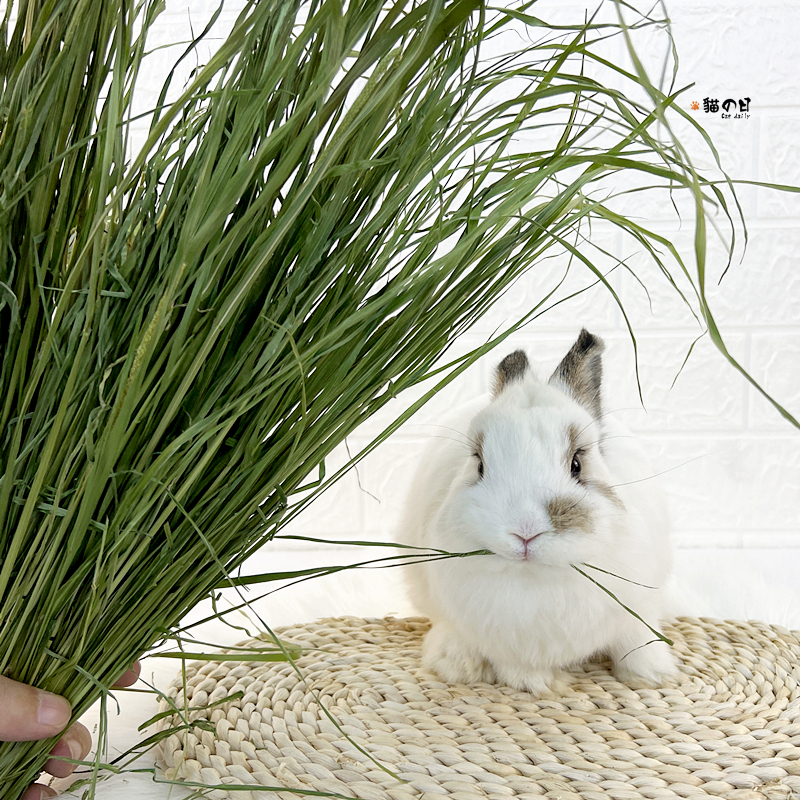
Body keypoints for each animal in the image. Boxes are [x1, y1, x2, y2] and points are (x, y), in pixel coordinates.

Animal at [400, 328, 676, 692]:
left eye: (577, 464)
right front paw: (535, 683)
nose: (525, 532)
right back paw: (458, 665)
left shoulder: (640, 604)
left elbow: (637, 638)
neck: (536, 579)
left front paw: (651, 675)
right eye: (480, 465)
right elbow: (516, 664)